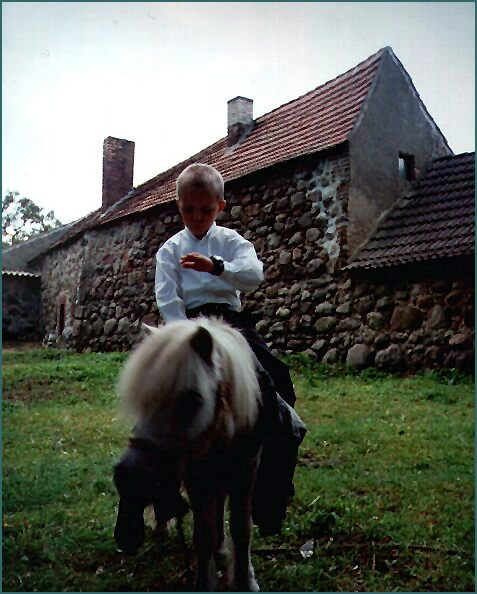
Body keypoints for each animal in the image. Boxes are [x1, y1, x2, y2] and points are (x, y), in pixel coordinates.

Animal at [116, 316, 262, 588]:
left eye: (191, 401)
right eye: (142, 401)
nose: (130, 477)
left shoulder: (247, 470)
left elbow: (242, 528)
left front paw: (245, 580)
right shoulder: (197, 477)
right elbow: (203, 534)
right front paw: (206, 581)